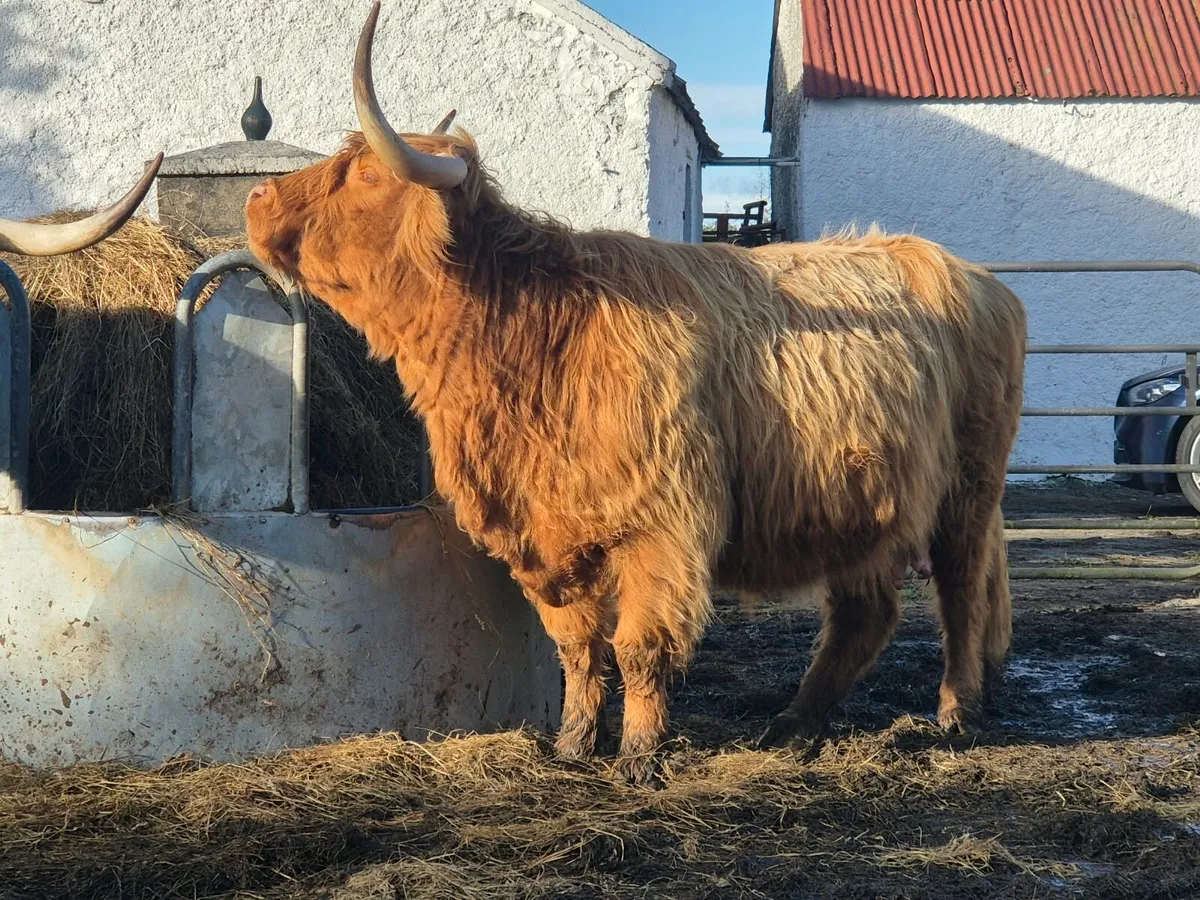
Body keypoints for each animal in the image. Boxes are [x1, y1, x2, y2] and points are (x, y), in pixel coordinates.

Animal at [245, 1, 1027, 785]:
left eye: (362, 171)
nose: (256, 196)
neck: (533, 341)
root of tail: (974, 275)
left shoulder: (663, 522)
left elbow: (640, 644)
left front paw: (640, 755)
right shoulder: (545, 532)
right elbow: (577, 645)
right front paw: (573, 742)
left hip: (968, 484)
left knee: (962, 588)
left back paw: (955, 712)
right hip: (861, 500)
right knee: (867, 613)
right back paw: (793, 724)